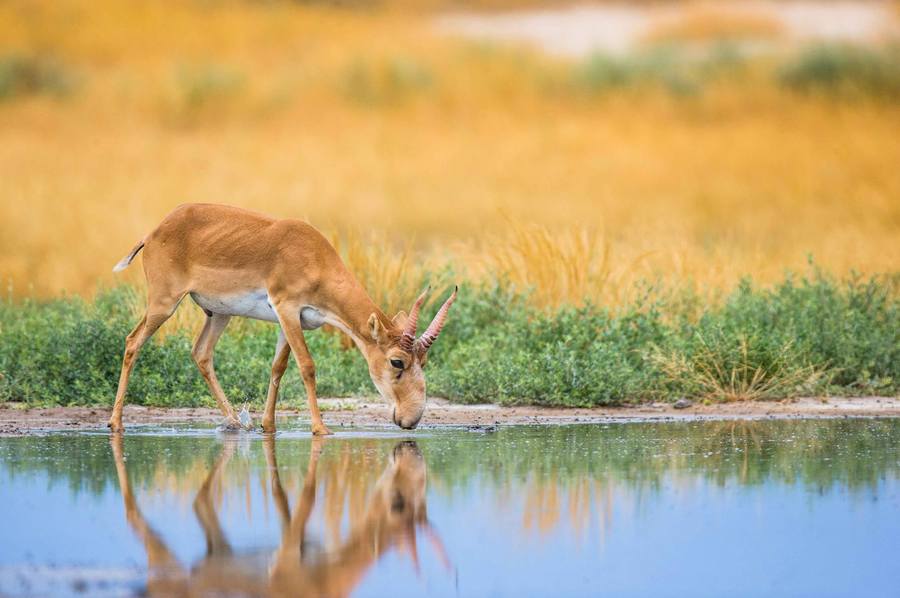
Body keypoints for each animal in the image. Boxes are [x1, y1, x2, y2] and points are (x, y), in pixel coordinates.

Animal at [107, 203, 458, 436]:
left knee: (201, 353)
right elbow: (307, 366)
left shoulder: (290, 321)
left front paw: (268, 425)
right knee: (132, 341)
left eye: (423, 361)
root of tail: (154, 233)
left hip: (219, 313)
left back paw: (234, 422)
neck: (313, 256)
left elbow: (278, 366)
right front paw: (320, 429)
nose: (411, 419)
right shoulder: (287, 308)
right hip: (164, 303)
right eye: (397, 361)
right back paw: (115, 423)